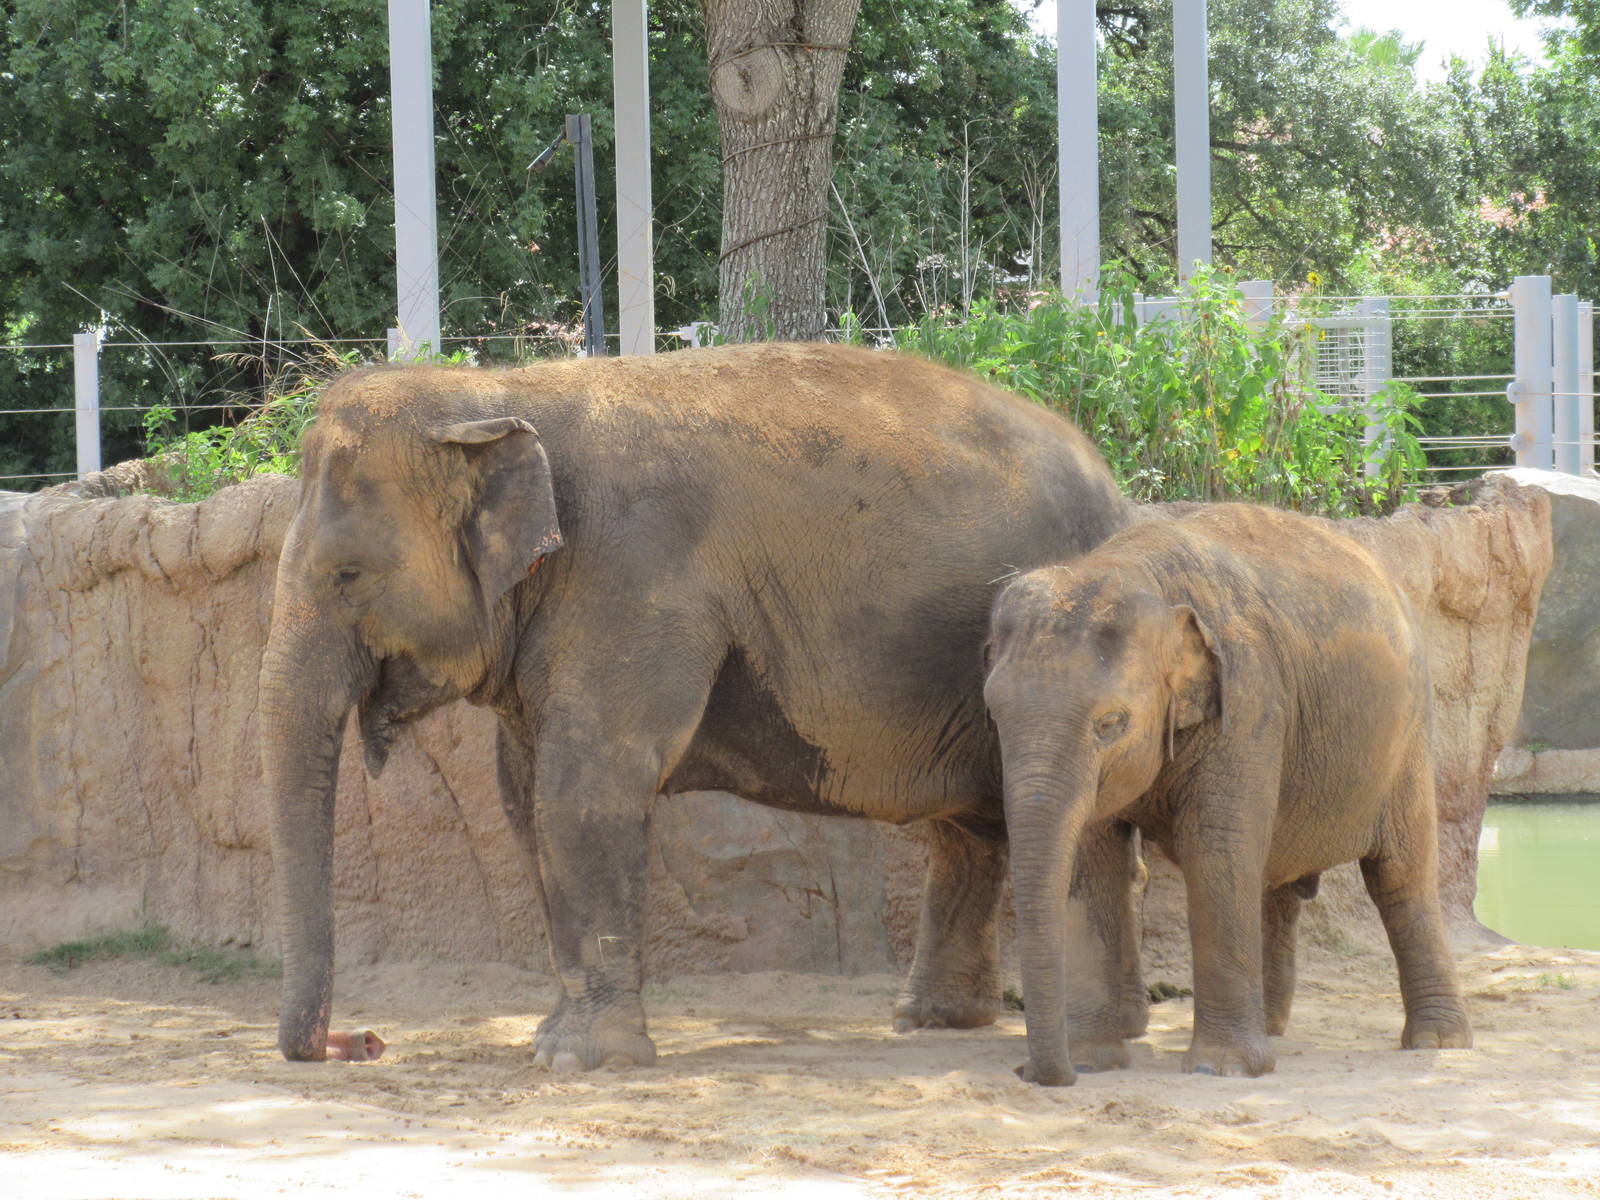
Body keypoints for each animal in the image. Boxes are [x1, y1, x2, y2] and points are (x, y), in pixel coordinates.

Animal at [259, 341, 1132, 1067]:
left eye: (346, 574)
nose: (359, 1042)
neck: (497, 392)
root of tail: (1116, 488)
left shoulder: (632, 575)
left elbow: (584, 789)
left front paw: (581, 1060)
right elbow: (521, 795)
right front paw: (552, 1041)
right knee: (972, 827)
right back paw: (932, 1021)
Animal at [982, 503, 1473, 1087]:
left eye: (1110, 723)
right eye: (992, 714)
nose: (1029, 1073)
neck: (1142, 573)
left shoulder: (1248, 700)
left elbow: (1215, 847)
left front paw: (1222, 1070)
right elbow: (1091, 857)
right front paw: (1090, 1060)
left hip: (1409, 738)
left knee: (1401, 878)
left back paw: (1437, 1041)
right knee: (1274, 880)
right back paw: (1273, 1027)